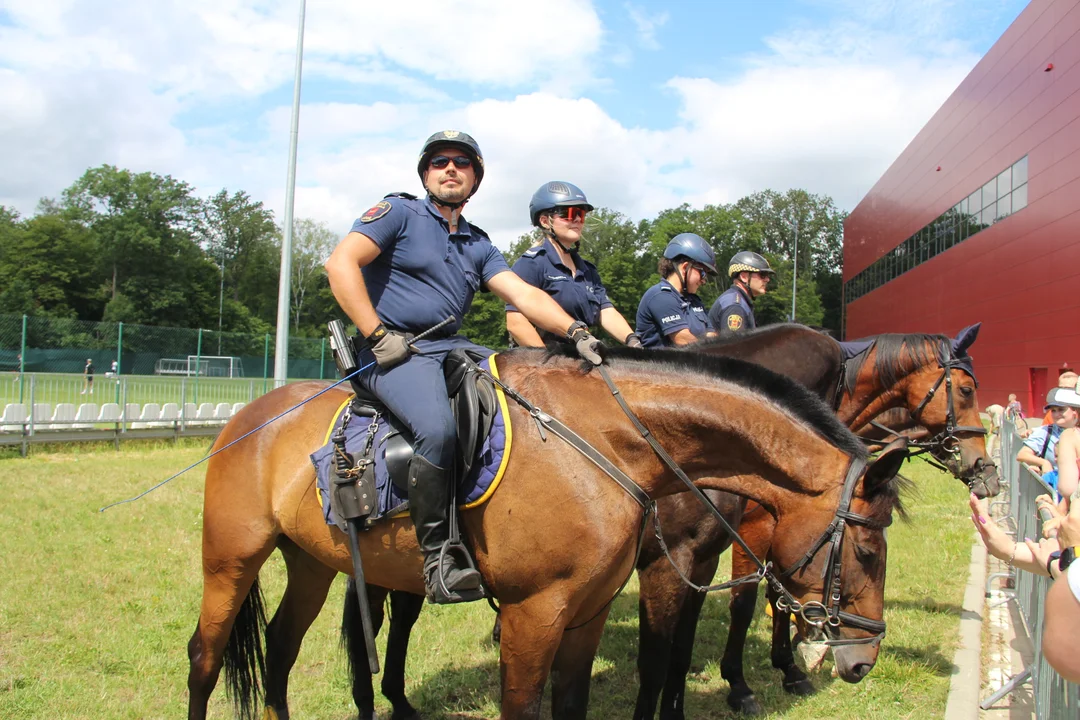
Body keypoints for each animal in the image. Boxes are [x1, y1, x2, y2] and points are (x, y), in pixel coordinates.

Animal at [190, 345, 907, 716]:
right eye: (869, 550)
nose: (865, 658)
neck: (611, 445)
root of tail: (247, 418)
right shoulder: (536, 613)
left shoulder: (589, 612)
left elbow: (582, 698)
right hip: (231, 559)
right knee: (206, 656)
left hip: (311, 562)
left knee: (279, 651)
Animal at [630, 325, 993, 720]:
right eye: (966, 390)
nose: (984, 467)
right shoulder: (749, 532)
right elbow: (744, 602)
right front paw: (740, 685)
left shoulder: (746, 545)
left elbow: (776, 594)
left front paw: (789, 667)